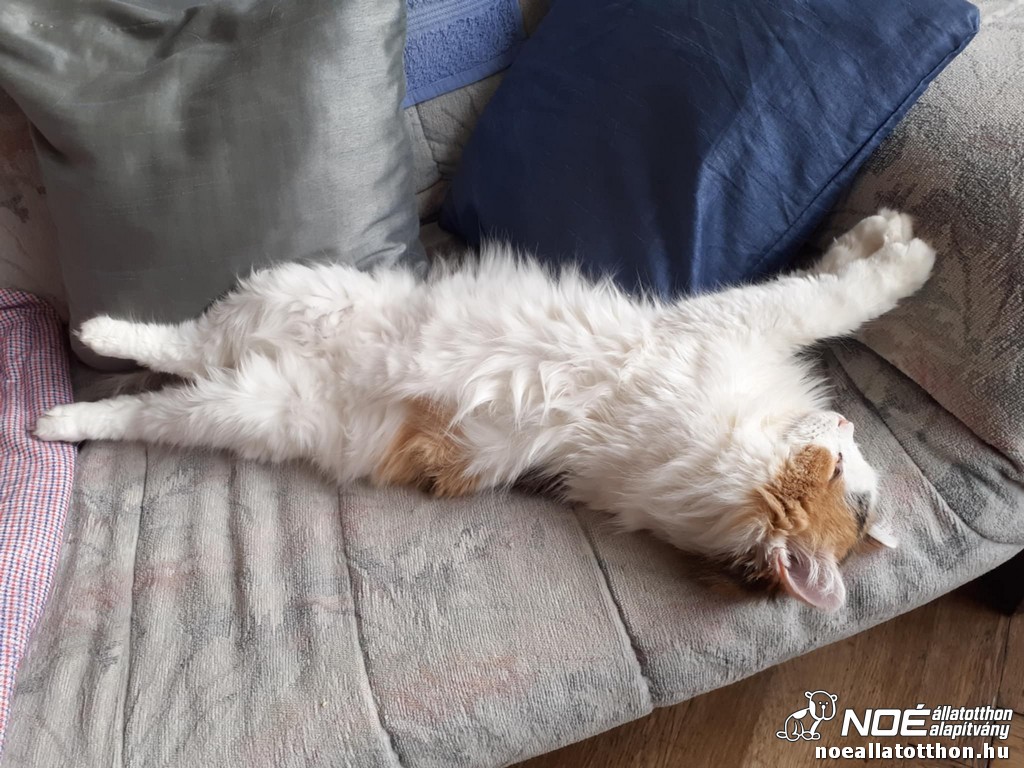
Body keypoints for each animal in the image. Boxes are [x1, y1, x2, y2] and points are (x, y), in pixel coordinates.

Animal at [34, 209, 933, 611]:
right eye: (847, 472)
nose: (851, 425)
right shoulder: (736, 319)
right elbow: (840, 286)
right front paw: (898, 244)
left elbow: (836, 288)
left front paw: (896, 245)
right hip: (291, 294)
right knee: (177, 342)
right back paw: (91, 335)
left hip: (247, 402)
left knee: (160, 394)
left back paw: (59, 419)